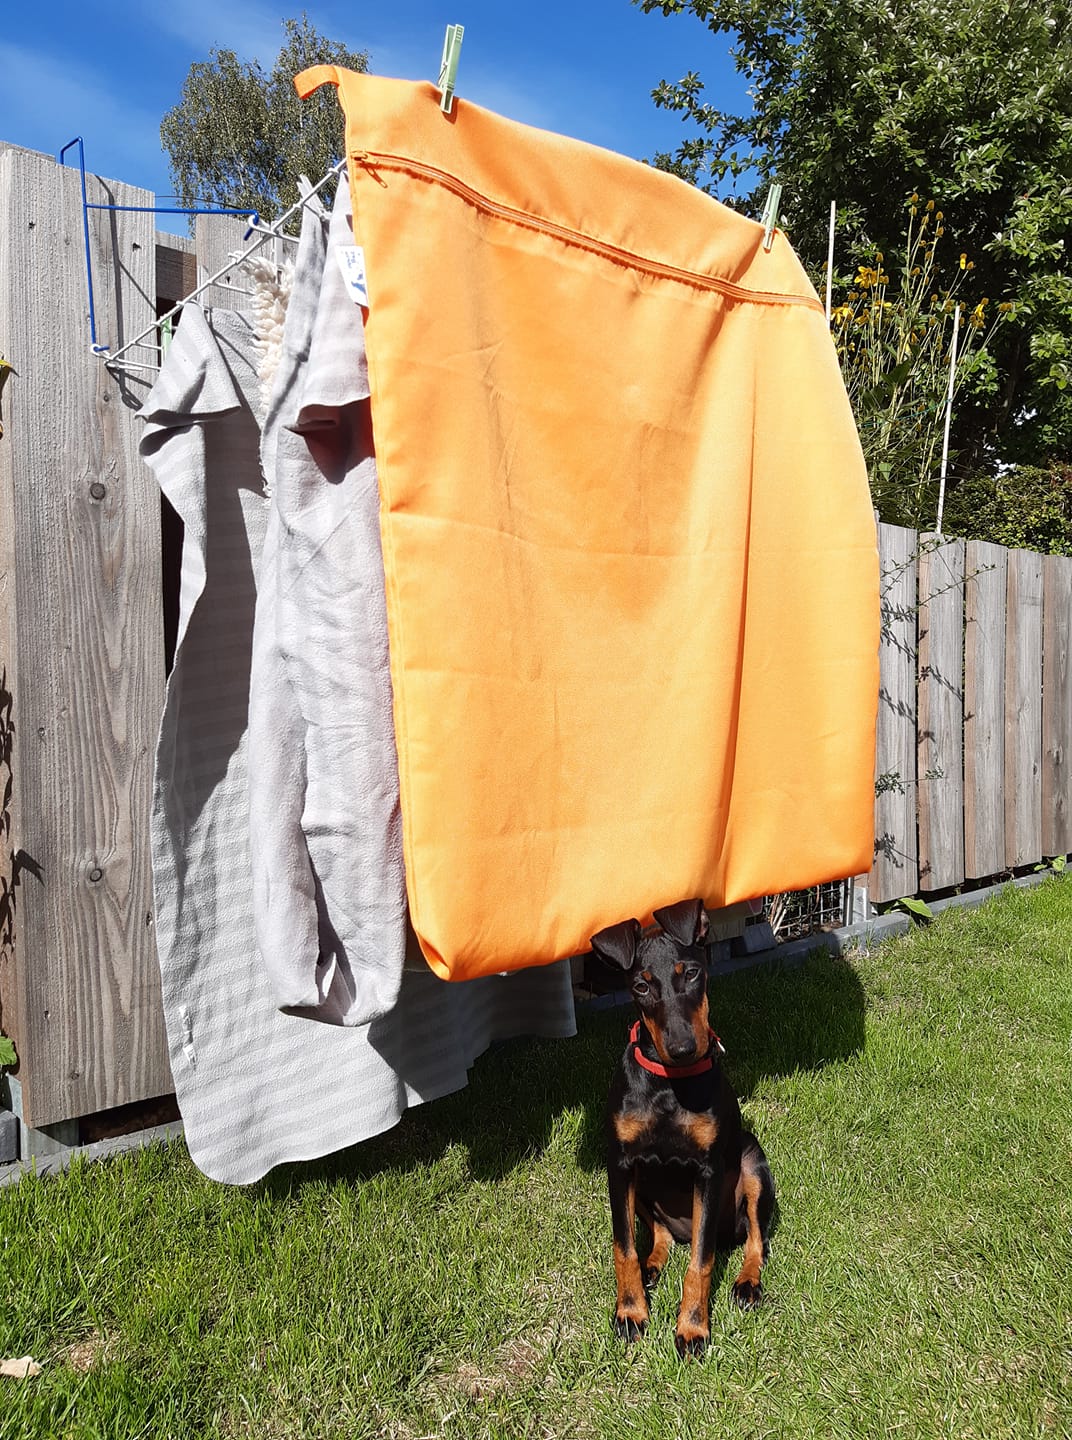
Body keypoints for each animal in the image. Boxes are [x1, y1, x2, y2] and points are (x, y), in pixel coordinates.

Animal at [593, 892, 772, 1353]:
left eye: (691, 973)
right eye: (641, 986)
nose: (682, 1048)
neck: (670, 1085)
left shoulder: (708, 1171)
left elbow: (702, 1260)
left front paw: (692, 1327)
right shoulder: (619, 1164)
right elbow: (624, 1248)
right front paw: (631, 1311)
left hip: (752, 1164)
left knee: (753, 1240)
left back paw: (747, 1282)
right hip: (642, 1183)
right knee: (661, 1235)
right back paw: (652, 1266)